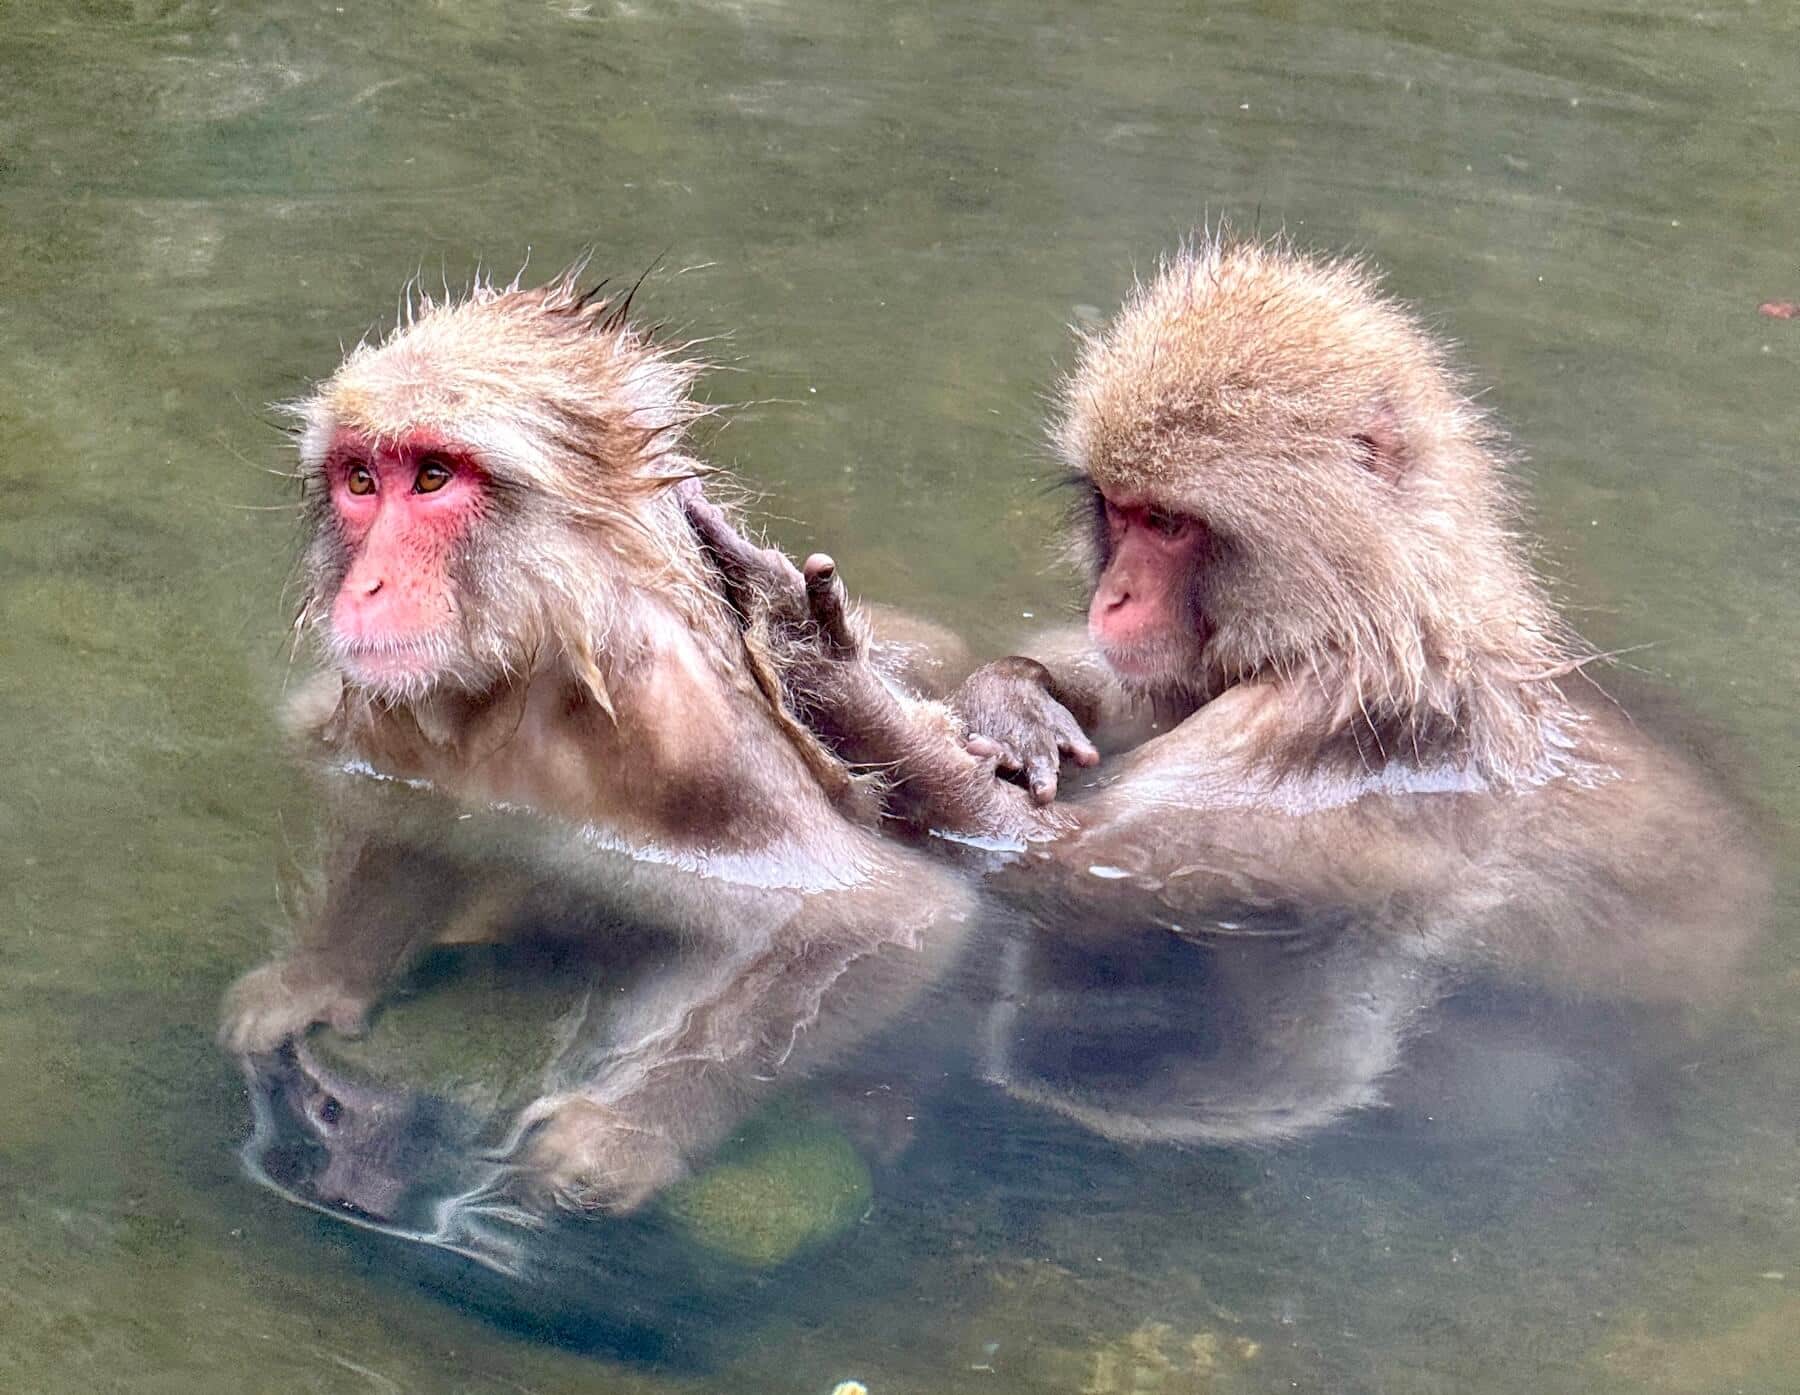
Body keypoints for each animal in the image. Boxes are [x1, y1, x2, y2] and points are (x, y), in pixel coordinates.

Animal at [218, 267, 979, 1215]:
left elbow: (887, 913)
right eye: (361, 479)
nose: (367, 587)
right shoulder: (393, 718)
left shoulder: (690, 732)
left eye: (431, 476)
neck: (533, 671)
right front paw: (316, 980)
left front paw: (626, 1132)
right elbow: (405, 827)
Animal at [687, 235, 1767, 1141]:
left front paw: (817, 659)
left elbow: (1057, 863)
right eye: (1118, 511)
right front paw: (1016, 699)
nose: (1114, 598)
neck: (1375, 618)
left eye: (1169, 524)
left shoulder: (1316, 731)